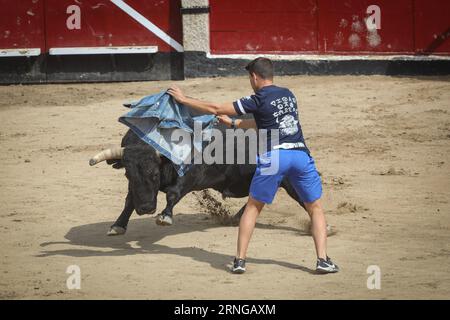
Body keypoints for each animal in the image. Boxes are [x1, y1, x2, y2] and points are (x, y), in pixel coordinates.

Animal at [89, 128, 308, 235]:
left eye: (154, 174)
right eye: (128, 174)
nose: (146, 208)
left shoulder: (191, 176)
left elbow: (173, 193)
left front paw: (164, 216)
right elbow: (129, 200)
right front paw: (118, 225)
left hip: (289, 180)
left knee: (303, 198)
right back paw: (237, 218)